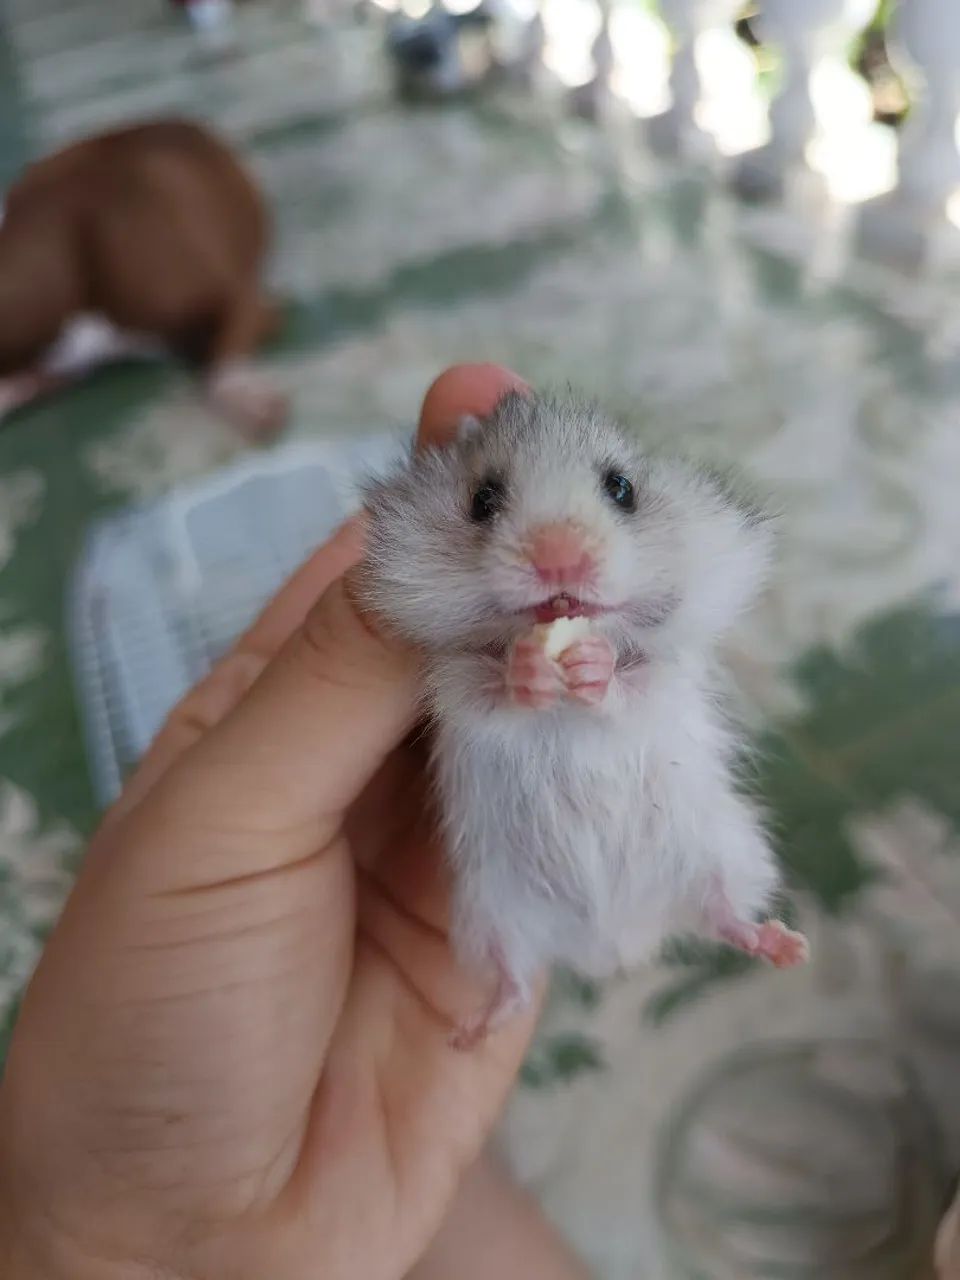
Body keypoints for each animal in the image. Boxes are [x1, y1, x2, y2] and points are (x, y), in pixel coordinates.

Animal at [360, 390, 808, 1047]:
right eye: (483, 500)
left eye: (622, 489)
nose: (559, 560)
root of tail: (617, 947)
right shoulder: (451, 679)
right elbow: (488, 689)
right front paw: (529, 669)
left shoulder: (671, 672)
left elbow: (636, 683)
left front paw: (593, 664)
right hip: (491, 914)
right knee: (514, 981)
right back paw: (473, 1032)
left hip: (728, 851)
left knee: (726, 915)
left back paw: (788, 948)